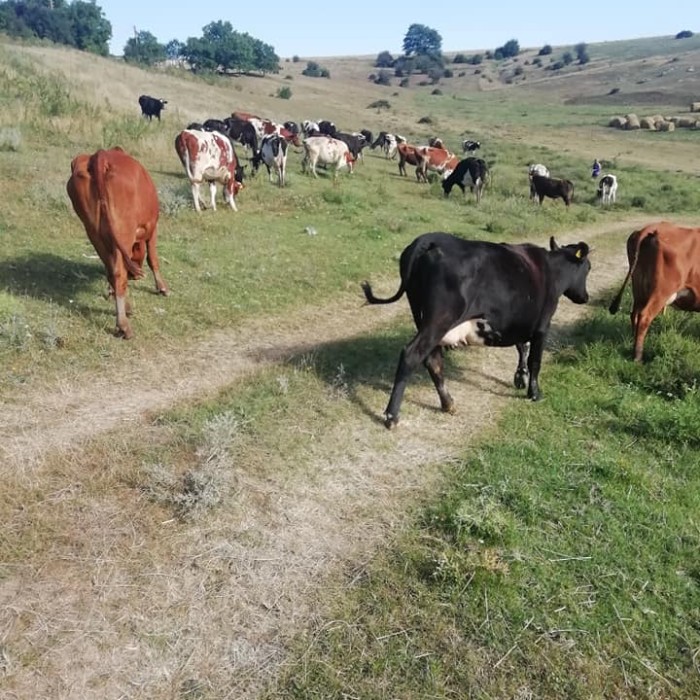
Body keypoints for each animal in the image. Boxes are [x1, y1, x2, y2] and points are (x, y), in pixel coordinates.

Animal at [66, 148, 170, 340]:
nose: (135, 276)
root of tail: (100, 156)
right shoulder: (152, 227)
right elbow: (153, 258)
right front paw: (162, 287)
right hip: (123, 231)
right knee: (118, 272)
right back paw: (123, 324)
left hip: (93, 231)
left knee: (111, 269)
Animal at [360, 232, 592, 430]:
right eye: (588, 268)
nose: (585, 297)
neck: (552, 270)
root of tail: (432, 238)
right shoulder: (543, 324)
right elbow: (535, 359)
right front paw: (534, 393)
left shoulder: (519, 320)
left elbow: (522, 347)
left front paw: (520, 377)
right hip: (440, 318)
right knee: (411, 355)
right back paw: (392, 416)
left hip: (422, 316)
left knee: (433, 359)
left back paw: (448, 403)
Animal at [608, 220, 700, 364]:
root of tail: (651, 228)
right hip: (661, 292)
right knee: (644, 317)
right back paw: (638, 357)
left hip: (639, 289)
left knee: (634, 314)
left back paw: (632, 343)